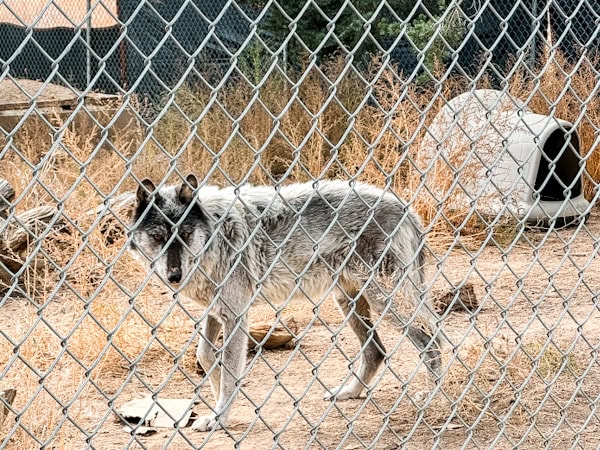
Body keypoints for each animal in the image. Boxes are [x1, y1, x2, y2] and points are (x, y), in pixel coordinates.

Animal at [127, 174, 446, 430]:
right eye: (158, 237)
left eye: (185, 234)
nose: (175, 276)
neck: (215, 236)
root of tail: (406, 208)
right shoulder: (216, 311)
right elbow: (206, 356)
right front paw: (215, 398)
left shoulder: (236, 317)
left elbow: (229, 374)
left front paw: (219, 417)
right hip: (349, 302)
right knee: (376, 351)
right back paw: (349, 392)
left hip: (386, 302)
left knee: (432, 340)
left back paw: (432, 398)